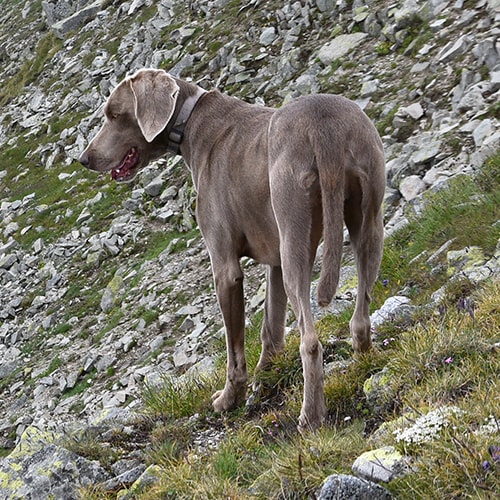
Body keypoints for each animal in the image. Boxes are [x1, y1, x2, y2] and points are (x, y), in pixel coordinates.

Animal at [79, 68, 386, 432]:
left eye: (114, 114)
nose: (84, 159)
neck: (191, 121)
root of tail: (322, 124)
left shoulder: (225, 267)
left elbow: (234, 347)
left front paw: (230, 398)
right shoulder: (275, 259)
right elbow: (270, 327)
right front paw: (265, 379)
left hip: (295, 232)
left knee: (310, 342)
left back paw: (310, 416)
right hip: (368, 217)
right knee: (361, 313)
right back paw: (365, 361)